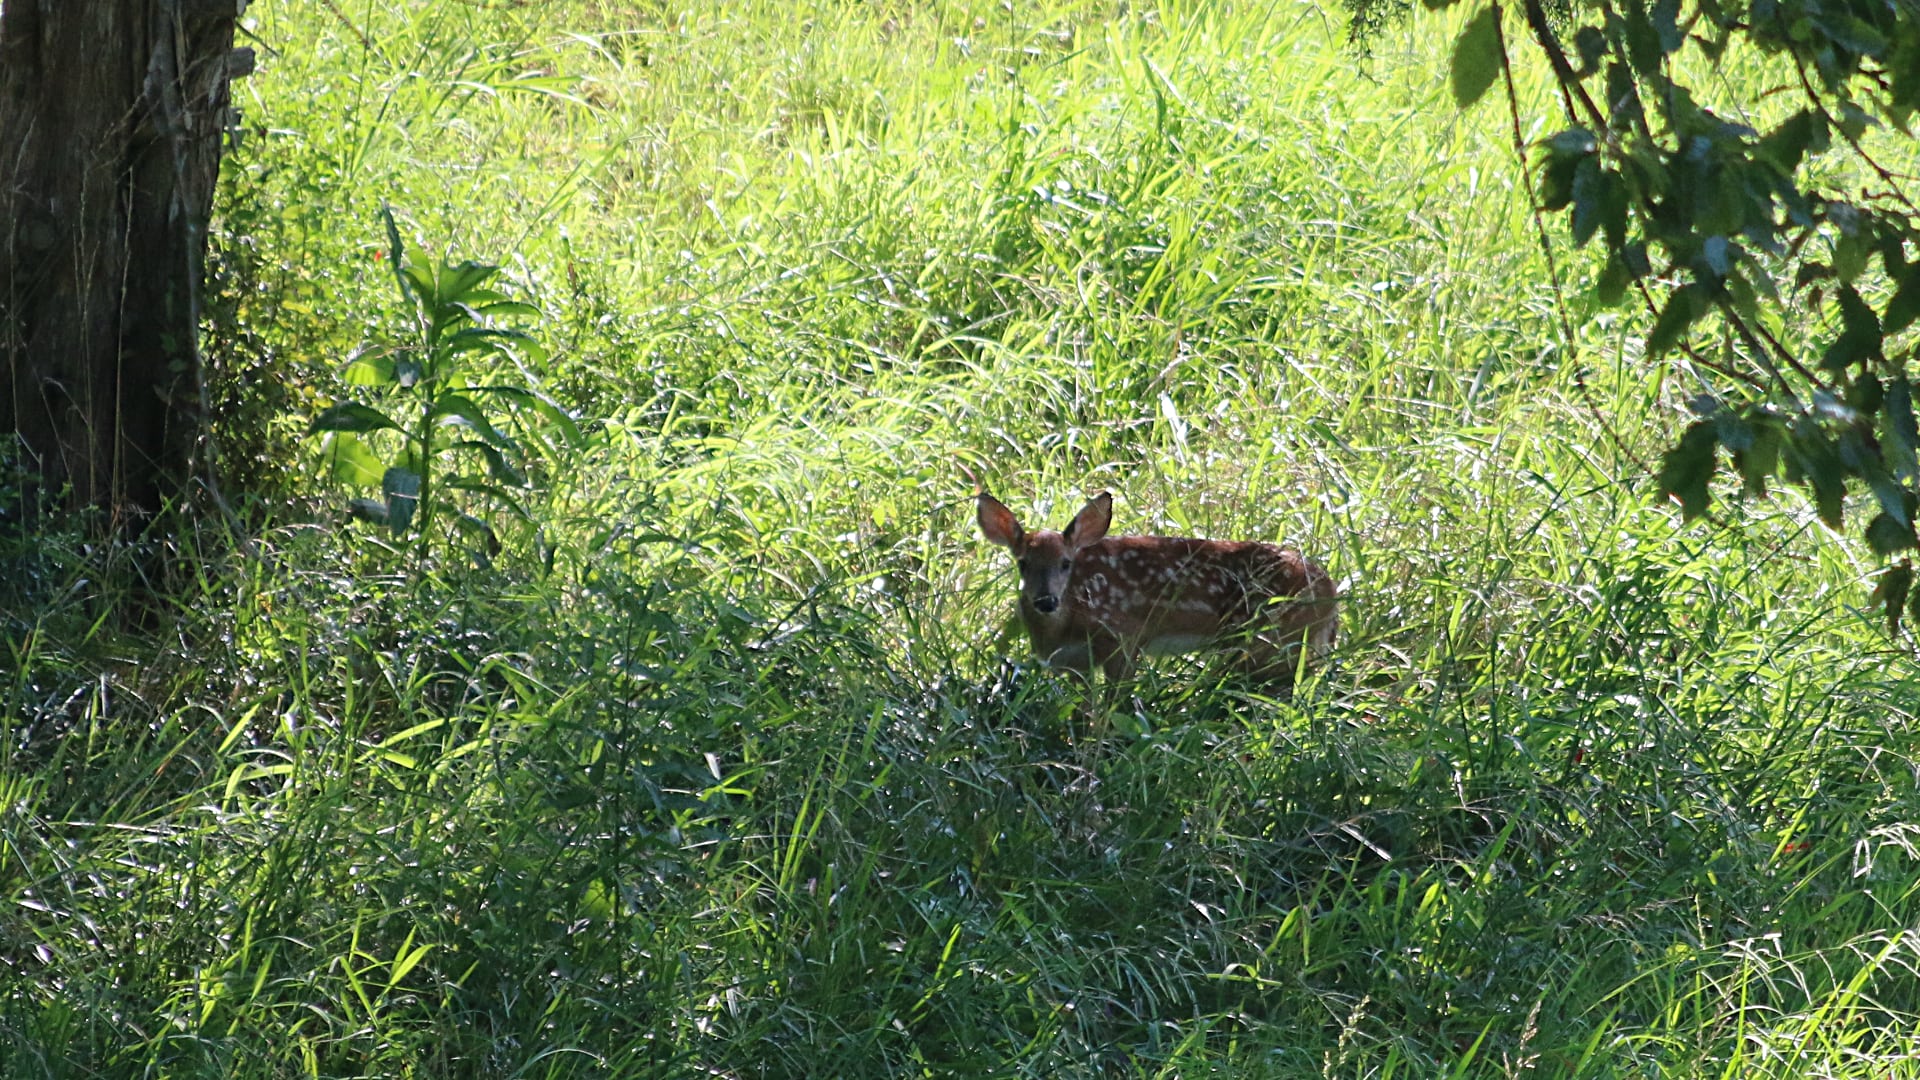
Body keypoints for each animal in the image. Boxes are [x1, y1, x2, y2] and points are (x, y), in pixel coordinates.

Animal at [976, 491, 1338, 692]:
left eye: (1066, 563)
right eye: (1023, 563)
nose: (1045, 600)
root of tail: (1330, 592)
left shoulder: (1124, 637)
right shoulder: (1074, 664)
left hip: (1268, 641)